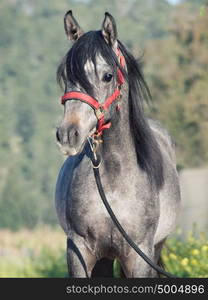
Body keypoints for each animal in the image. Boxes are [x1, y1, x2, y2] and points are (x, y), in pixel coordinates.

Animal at [55, 10, 180, 278]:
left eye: (107, 76)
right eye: (67, 76)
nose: (69, 134)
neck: (113, 182)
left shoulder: (138, 255)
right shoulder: (79, 250)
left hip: (154, 248)